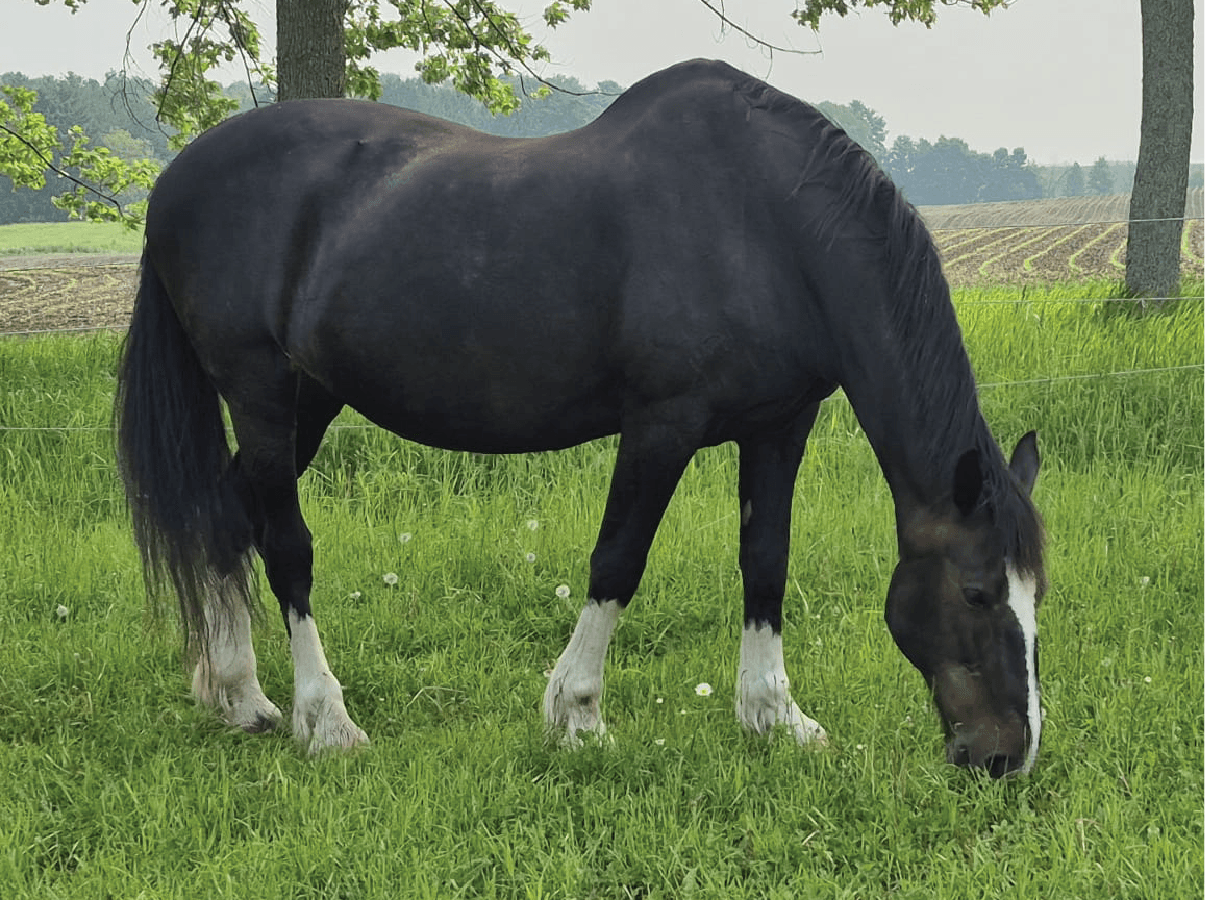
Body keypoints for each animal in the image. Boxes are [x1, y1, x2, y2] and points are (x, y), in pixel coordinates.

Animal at [115, 59, 1046, 776]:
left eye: (1036, 592)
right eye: (974, 592)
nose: (1006, 756)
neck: (767, 225)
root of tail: (174, 180)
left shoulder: (779, 427)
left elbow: (764, 564)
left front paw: (774, 717)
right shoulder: (662, 426)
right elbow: (617, 562)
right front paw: (578, 715)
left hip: (310, 401)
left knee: (225, 517)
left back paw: (240, 697)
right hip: (261, 393)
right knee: (285, 549)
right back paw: (326, 721)